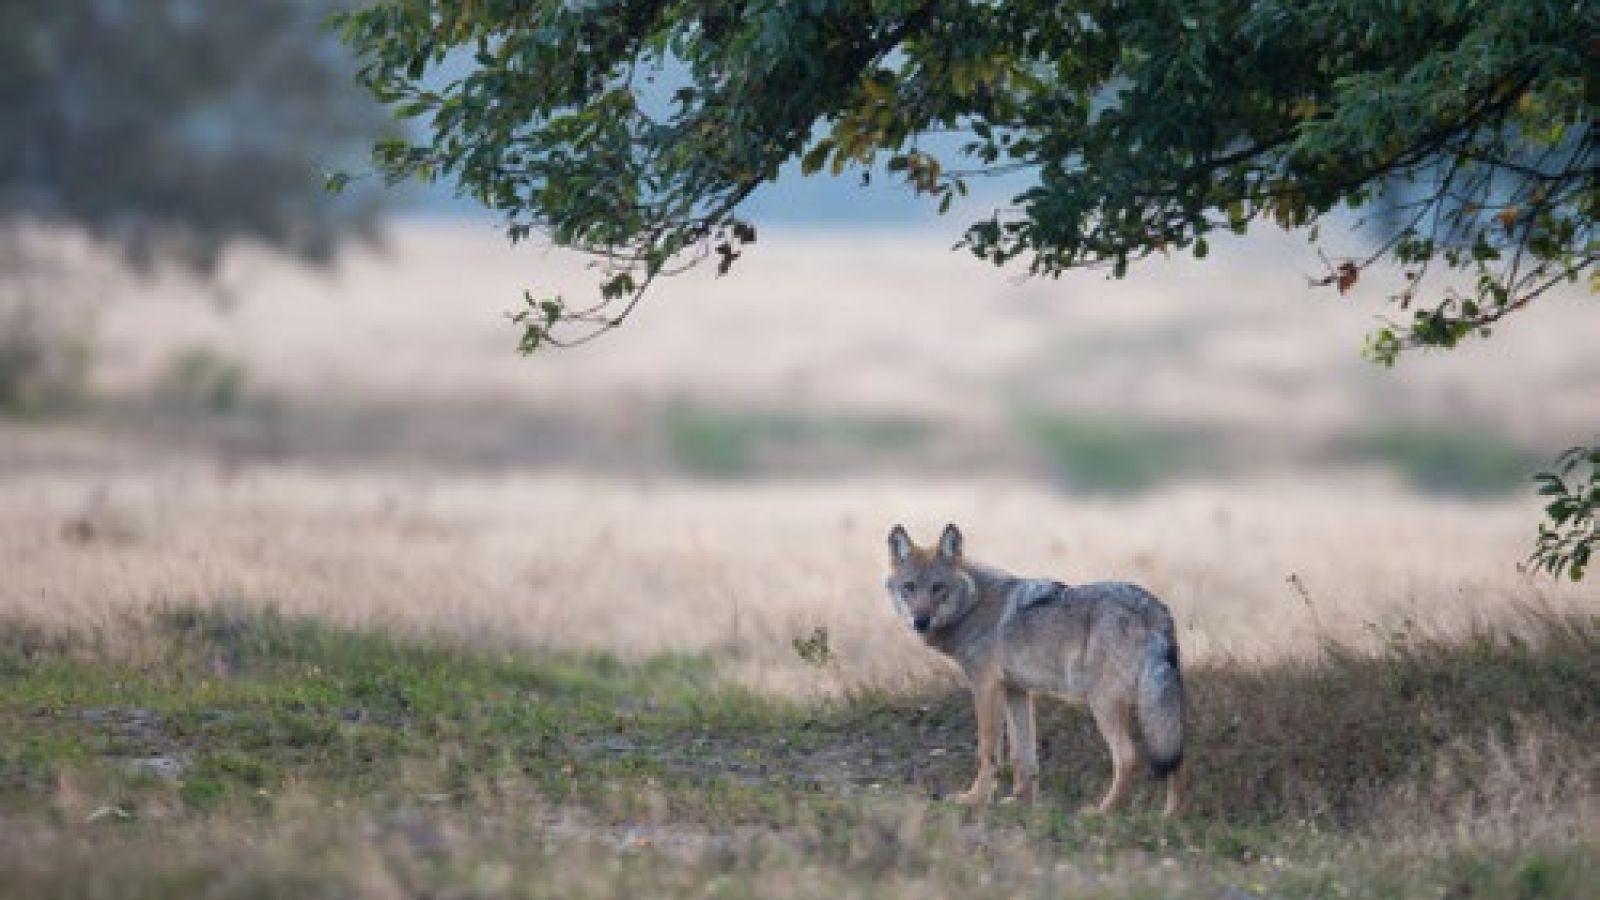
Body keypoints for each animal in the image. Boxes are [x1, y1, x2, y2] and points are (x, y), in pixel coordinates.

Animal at [885, 523, 1187, 815]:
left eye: (938, 587)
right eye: (909, 587)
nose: (920, 620)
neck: (972, 606)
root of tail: (1154, 608)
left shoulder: (985, 687)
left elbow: (988, 749)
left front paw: (975, 799)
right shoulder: (1016, 691)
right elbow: (1023, 755)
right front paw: (1021, 802)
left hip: (1104, 703)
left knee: (1128, 757)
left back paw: (1103, 811)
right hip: (1156, 705)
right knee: (1175, 755)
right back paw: (1170, 816)